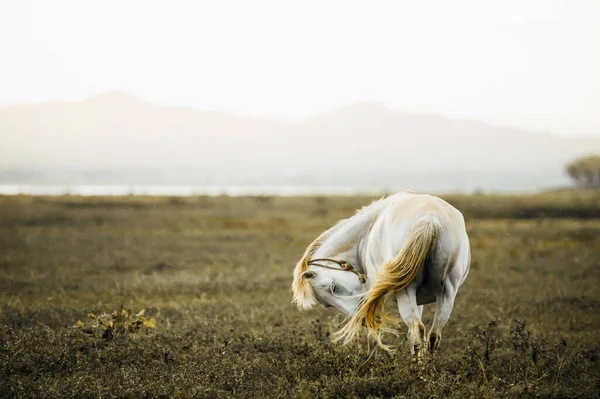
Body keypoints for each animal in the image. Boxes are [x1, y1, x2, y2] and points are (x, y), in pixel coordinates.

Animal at [292, 191, 472, 356]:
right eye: (326, 304)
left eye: (333, 287)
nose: (362, 320)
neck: (369, 230)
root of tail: (430, 219)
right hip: (447, 293)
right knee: (432, 335)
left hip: (406, 291)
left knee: (417, 331)